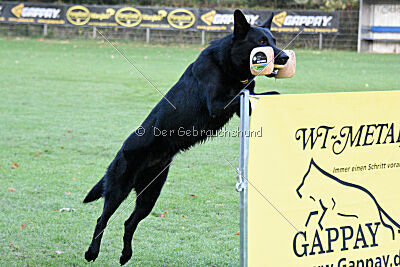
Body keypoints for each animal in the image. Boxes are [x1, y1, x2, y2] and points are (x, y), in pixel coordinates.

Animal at [83, 9, 288, 266]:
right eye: (261, 42)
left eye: (274, 40)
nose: (285, 58)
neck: (228, 65)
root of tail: (121, 151)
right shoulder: (217, 104)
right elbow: (247, 93)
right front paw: (272, 92)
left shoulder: (241, 107)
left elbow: (253, 93)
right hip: (119, 189)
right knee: (102, 219)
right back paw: (92, 252)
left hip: (149, 196)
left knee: (129, 222)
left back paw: (125, 255)